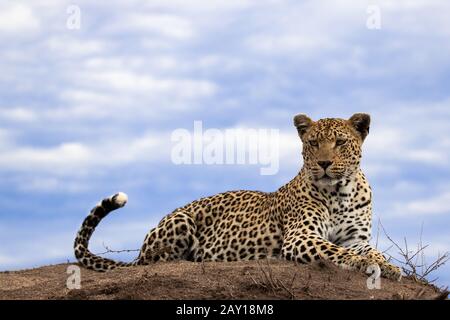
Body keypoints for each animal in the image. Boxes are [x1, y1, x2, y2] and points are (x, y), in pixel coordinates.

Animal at [74, 112, 400, 280]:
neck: (340, 192)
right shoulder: (301, 237)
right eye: (313, 143)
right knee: (158, 262)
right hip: (181, 221)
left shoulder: (356, 238)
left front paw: (388, 266)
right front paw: (366, 266)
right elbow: (339, 253)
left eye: (340, 142)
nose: (323, 163)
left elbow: (372, 251)